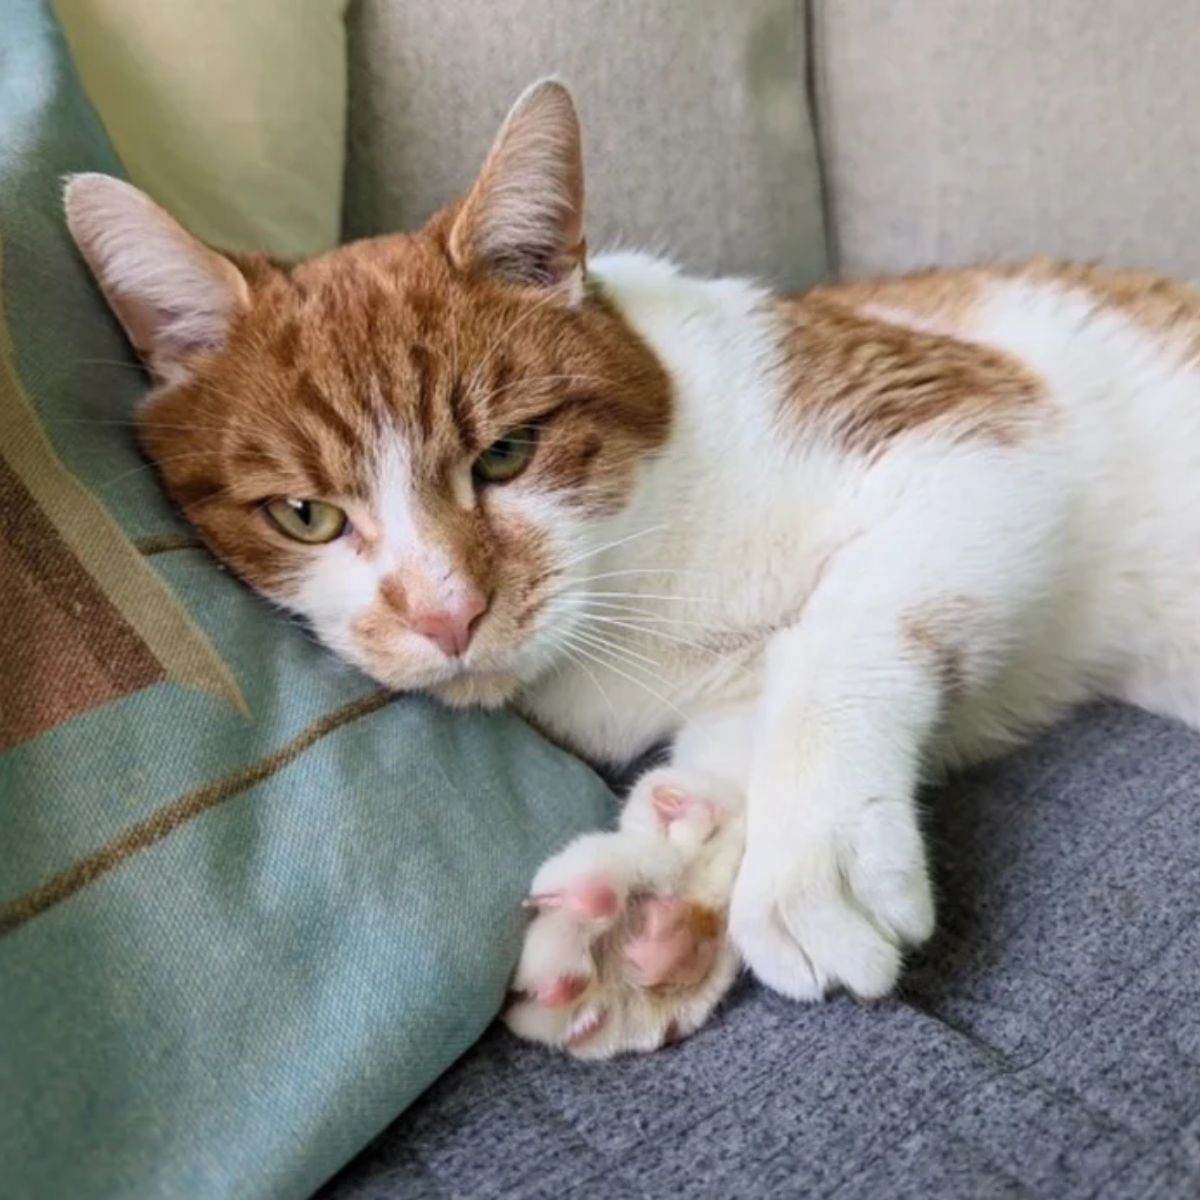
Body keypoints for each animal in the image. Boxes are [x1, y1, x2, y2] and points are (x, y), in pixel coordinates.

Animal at [65, 82, 1200, 1060]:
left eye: (507, 454)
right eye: (306, 515)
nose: (447, 613)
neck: (640, 575)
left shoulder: (981, 420)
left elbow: (846, 628)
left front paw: (810, 845)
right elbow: (745, 723)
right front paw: (652, 901)